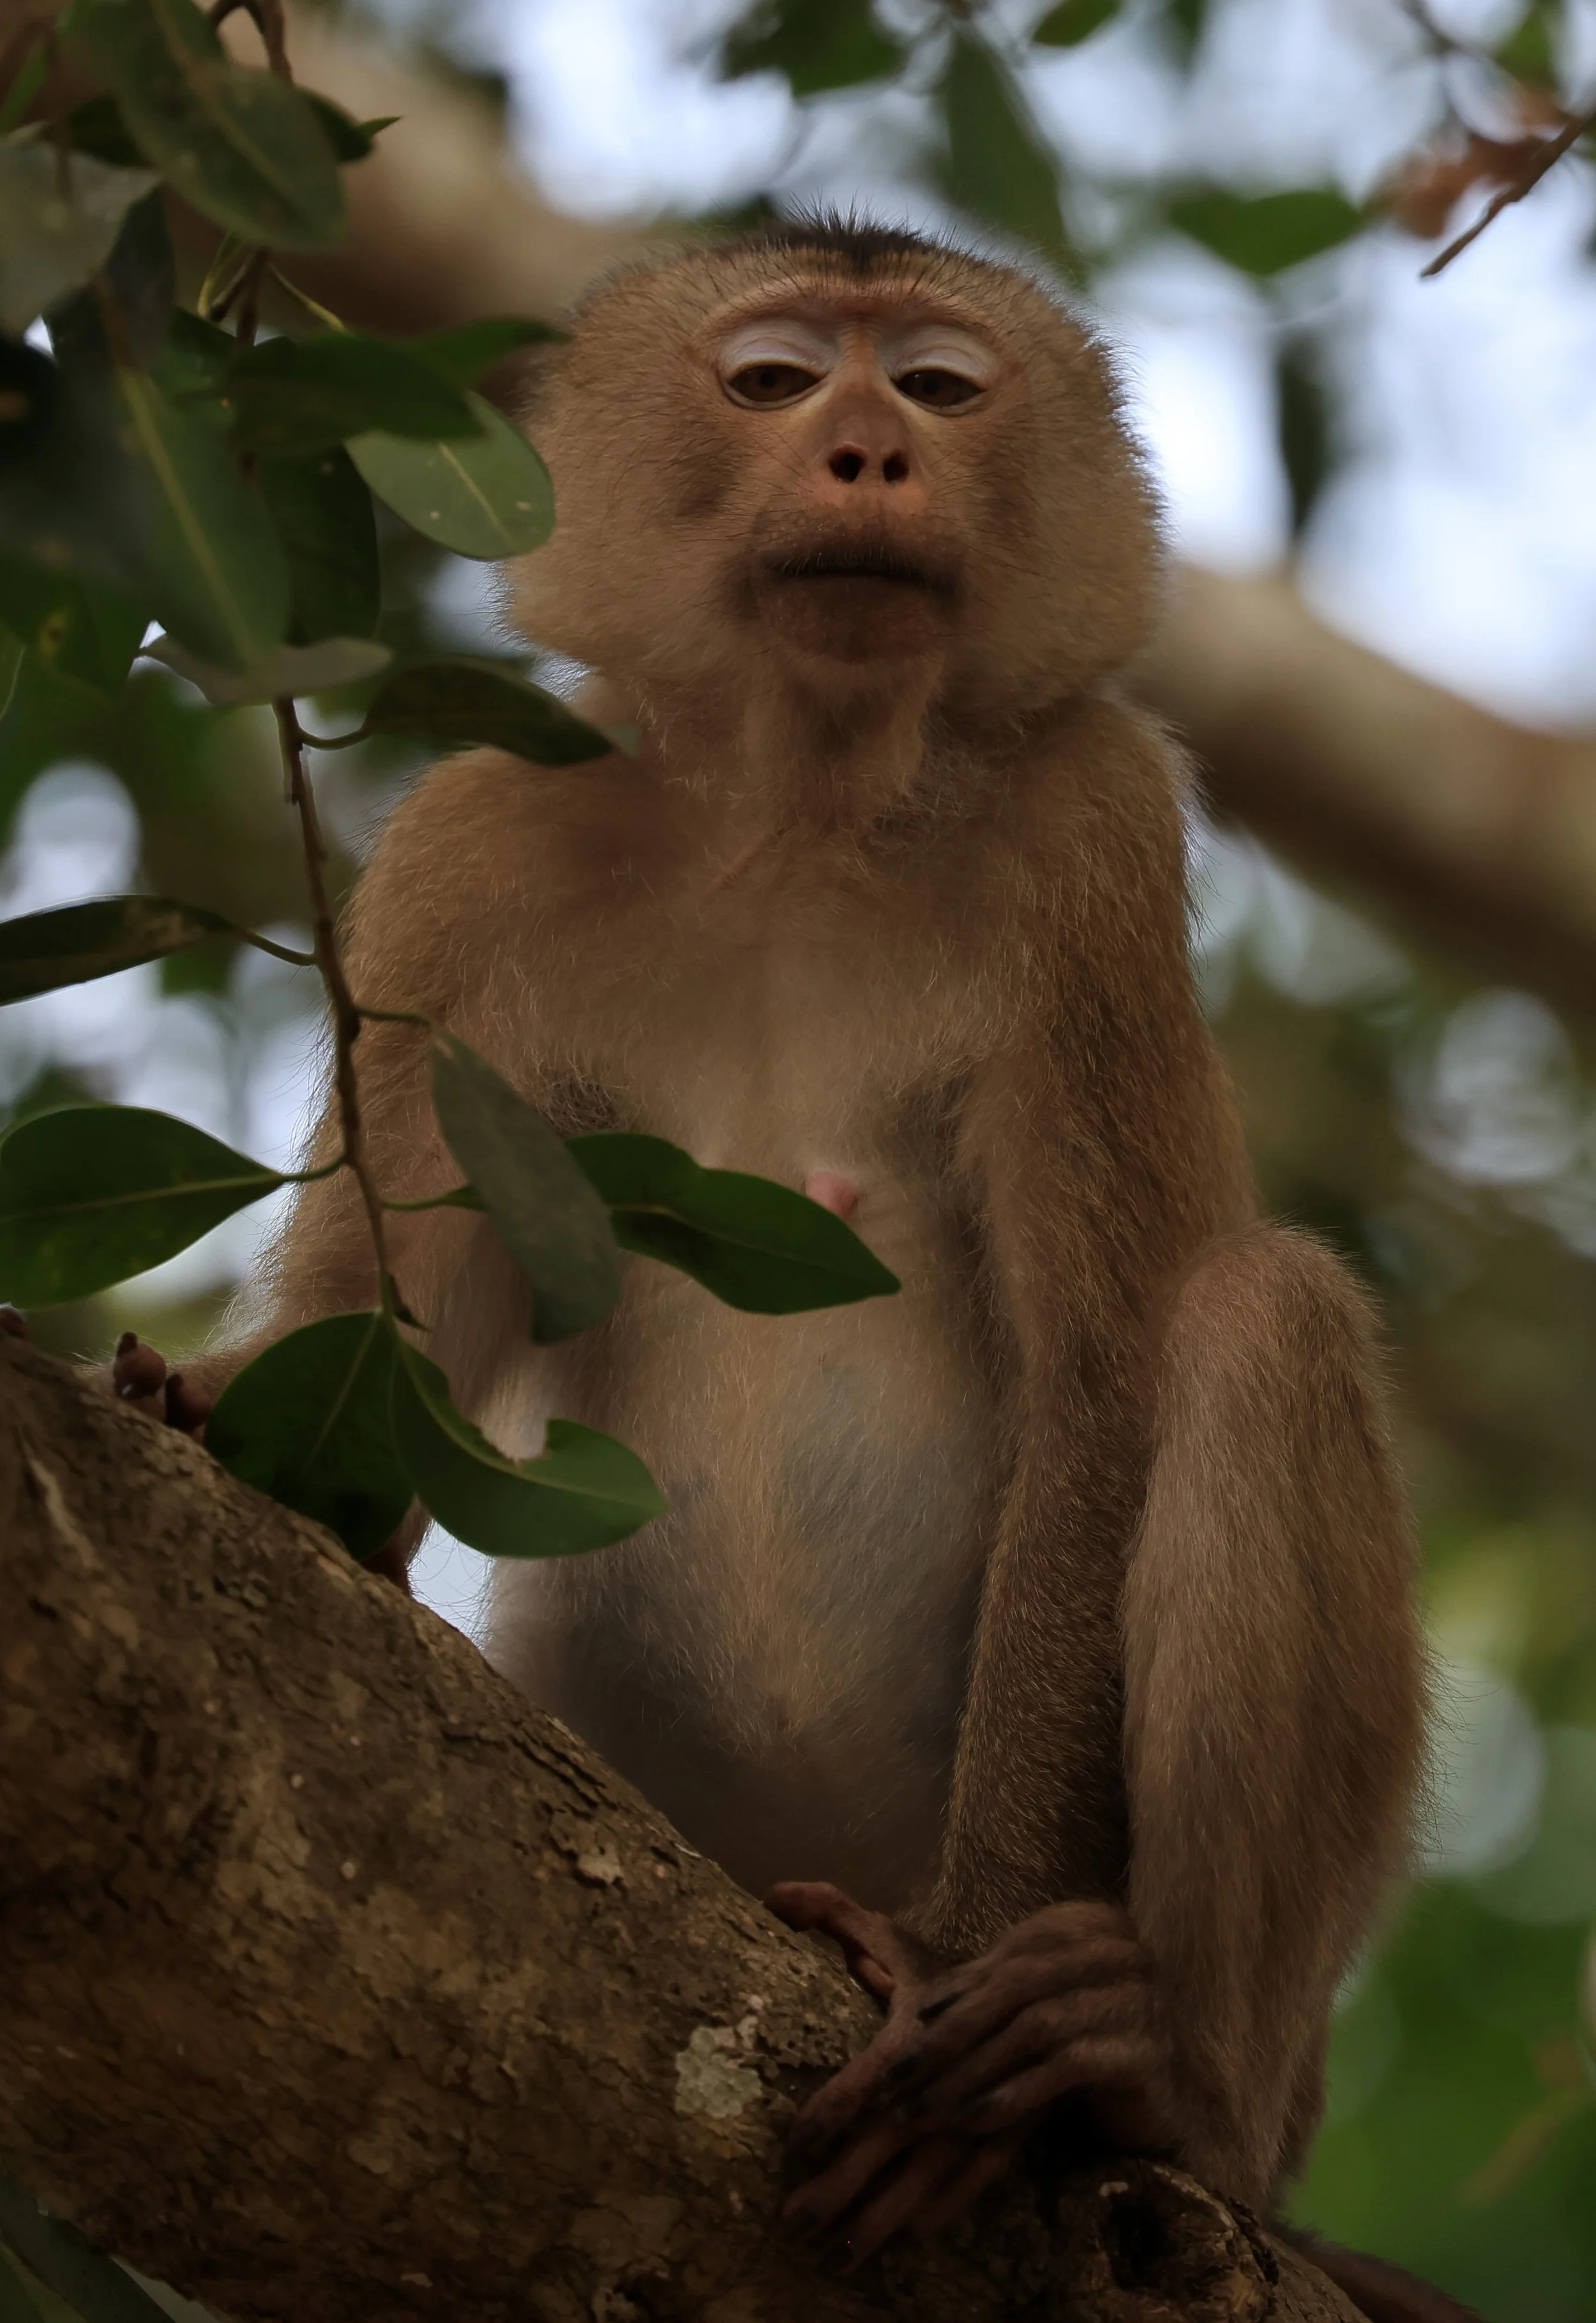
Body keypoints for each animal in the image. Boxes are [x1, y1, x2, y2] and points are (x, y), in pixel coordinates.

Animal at [108, 220, 1465, 2310]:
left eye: (934, 389)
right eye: (768, 383)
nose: (864, 456)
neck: (799, 814)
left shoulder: (1087, 828)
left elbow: (1104, 1377)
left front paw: (967, 1970)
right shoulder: (476, 845)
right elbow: (391, 1305)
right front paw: (221, 1426)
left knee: (1261, 1320)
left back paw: (1160, 2076)